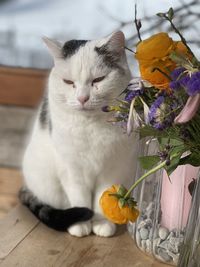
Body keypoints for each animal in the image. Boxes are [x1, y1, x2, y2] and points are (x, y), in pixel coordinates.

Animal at [19, 31, 138, 239]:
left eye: (98, 80)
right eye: (68, 82)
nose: (82, 98)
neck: (92, 127)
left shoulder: (112, 169)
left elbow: (102, 197)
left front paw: (101, 223)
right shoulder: (72, 170)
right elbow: (80, 198)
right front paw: (81, 225)